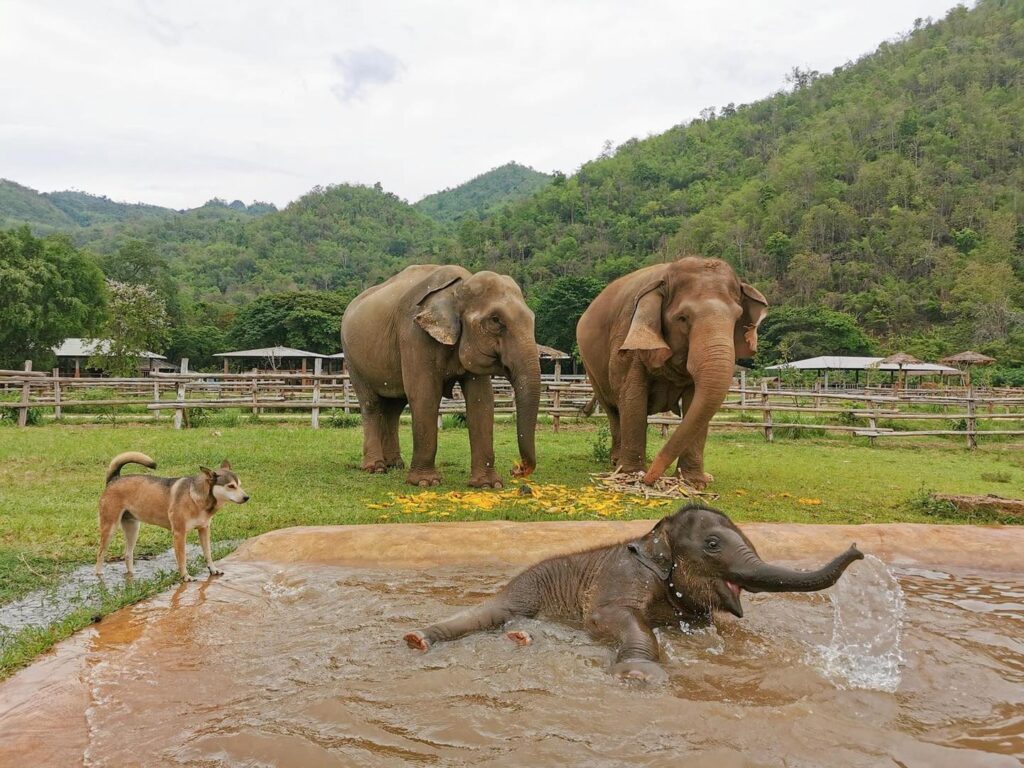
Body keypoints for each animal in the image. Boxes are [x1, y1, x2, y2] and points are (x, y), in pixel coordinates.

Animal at [340, 264, 540, 488]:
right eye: (496, 320)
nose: (517, 469)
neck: (458, 286)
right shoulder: (413, 334)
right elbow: (425, 394)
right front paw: (425, 483)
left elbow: (481, 400)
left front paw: (488, 485)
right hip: (352, 358)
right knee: (371, 404)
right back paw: (375, 468)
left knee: (394, 407)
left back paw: (395, 465)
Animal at [404, 503, 863, 683]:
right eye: (713, 544)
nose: (858, 549)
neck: (653, 534)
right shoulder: (625, 575)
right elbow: (607, 618)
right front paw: (641, 674)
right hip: (524, 590)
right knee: (488, 613)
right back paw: (418, 640)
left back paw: (519, 638)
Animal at [577, 256, 768, 488]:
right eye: (682, 318)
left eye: (737, 318)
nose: (649, 479)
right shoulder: (626, 338)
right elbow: (633, 397)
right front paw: (632, 475)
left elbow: (695, 400)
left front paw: (693, 482)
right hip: (590, 367)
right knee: (613, 410)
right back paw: (616, 463)